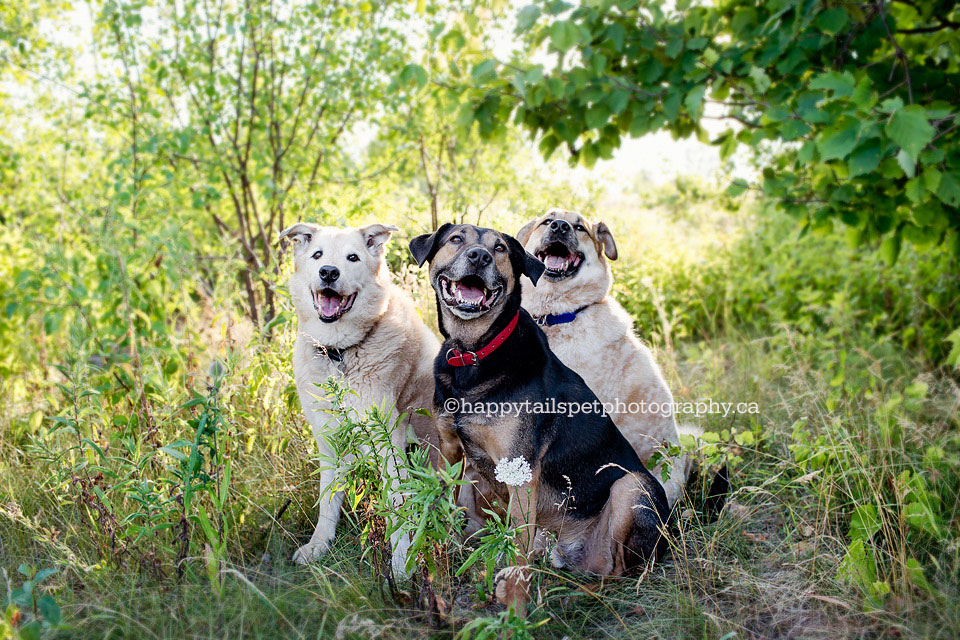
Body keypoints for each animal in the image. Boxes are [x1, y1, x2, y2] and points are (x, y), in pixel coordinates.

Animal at [280, 221, 440, 576]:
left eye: (352, 257)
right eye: (317, 255)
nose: (328, 272)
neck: (338, 353)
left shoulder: (389, 441)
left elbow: (398, 507)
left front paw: (401, 566)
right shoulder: (327, 439)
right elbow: (327, 500)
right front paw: (318, 546)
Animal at [408, 222, 672, 604]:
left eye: (500, 248)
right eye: (456, 239)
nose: (479, 256)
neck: (474, 354)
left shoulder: (520, 469)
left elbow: (516, 543)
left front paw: (512, 600)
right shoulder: (450, 450)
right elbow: (442, 510)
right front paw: (438, 563)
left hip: (633, 486)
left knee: (618, 570)